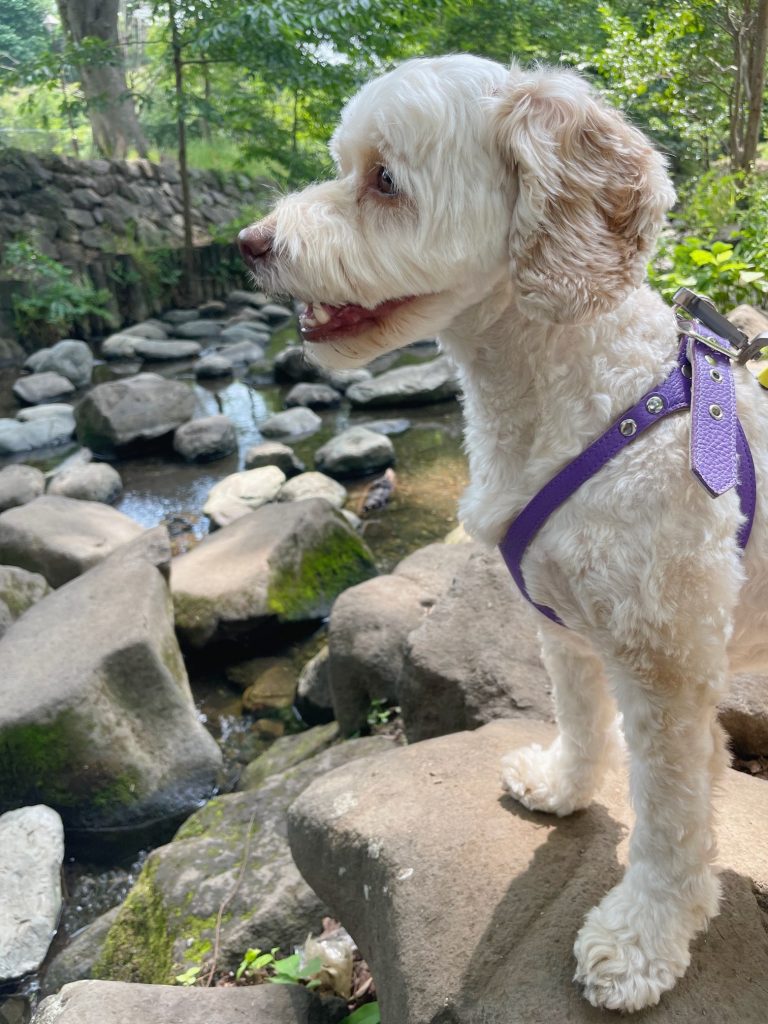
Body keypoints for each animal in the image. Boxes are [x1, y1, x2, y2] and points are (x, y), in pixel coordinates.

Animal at [240, 56, 768, 1015]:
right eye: (345, 164)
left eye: (385, 180)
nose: (249, 243)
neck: (573, 392)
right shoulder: (565, 623)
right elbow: (581, 717)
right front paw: (562, 787)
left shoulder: (663, 664)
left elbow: (671, 818)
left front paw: (642, 940)